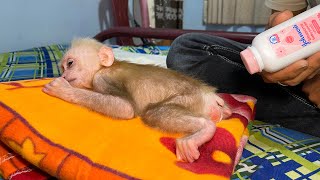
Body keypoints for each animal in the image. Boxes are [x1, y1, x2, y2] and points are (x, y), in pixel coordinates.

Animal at [43, 38, 232, 163]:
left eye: (70, 63)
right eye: (62, 68)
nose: (64, 76)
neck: (104, 68)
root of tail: (209, 94)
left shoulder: (102, 79)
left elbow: (126, 108)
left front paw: (64, 90)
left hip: (191, 98)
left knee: (153, 113)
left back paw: (204, 129)